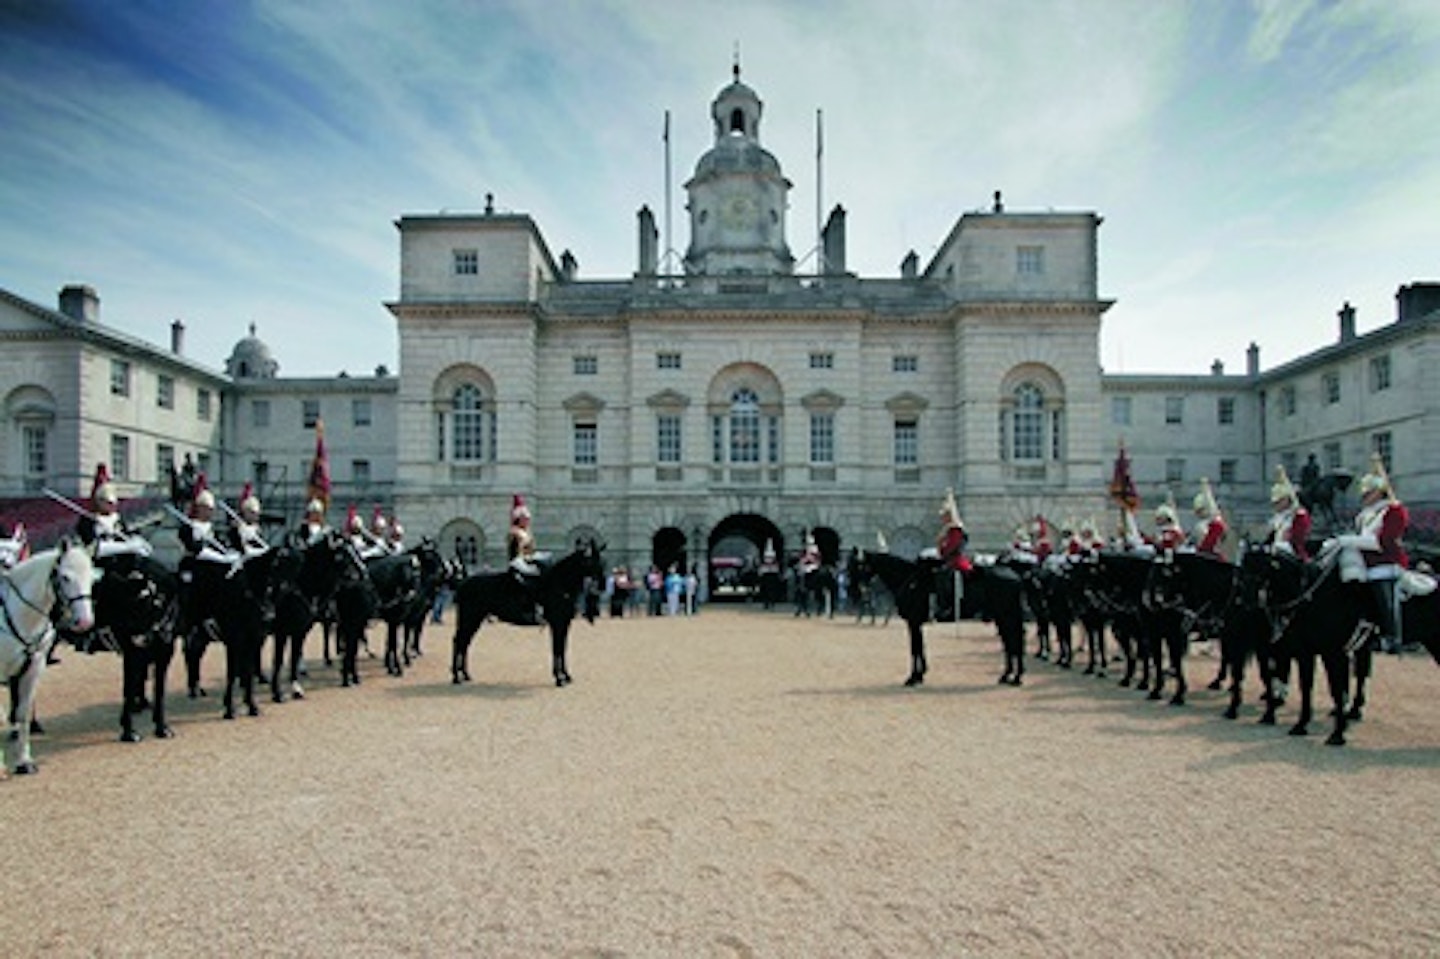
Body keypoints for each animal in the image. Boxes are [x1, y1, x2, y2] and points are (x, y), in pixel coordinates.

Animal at [3, 532, 95, 771]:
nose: (84, 621)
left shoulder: (34, 666)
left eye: (91, 578)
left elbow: (23, 713)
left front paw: (24, 761)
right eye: (65, 577)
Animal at [452, 538, 604, 688]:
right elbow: (557, 648)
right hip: (470, 619)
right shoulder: (557, 623)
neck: (560, 584)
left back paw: (465, 675)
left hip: (474, 620)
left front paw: (565, 676)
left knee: (464, 643)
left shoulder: (564, 624)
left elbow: (562, 648)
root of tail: (464, 582)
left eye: (600, 559)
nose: (601, 584)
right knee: (459, 641)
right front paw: (559, 678)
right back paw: (456, 677)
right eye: (591, 560)